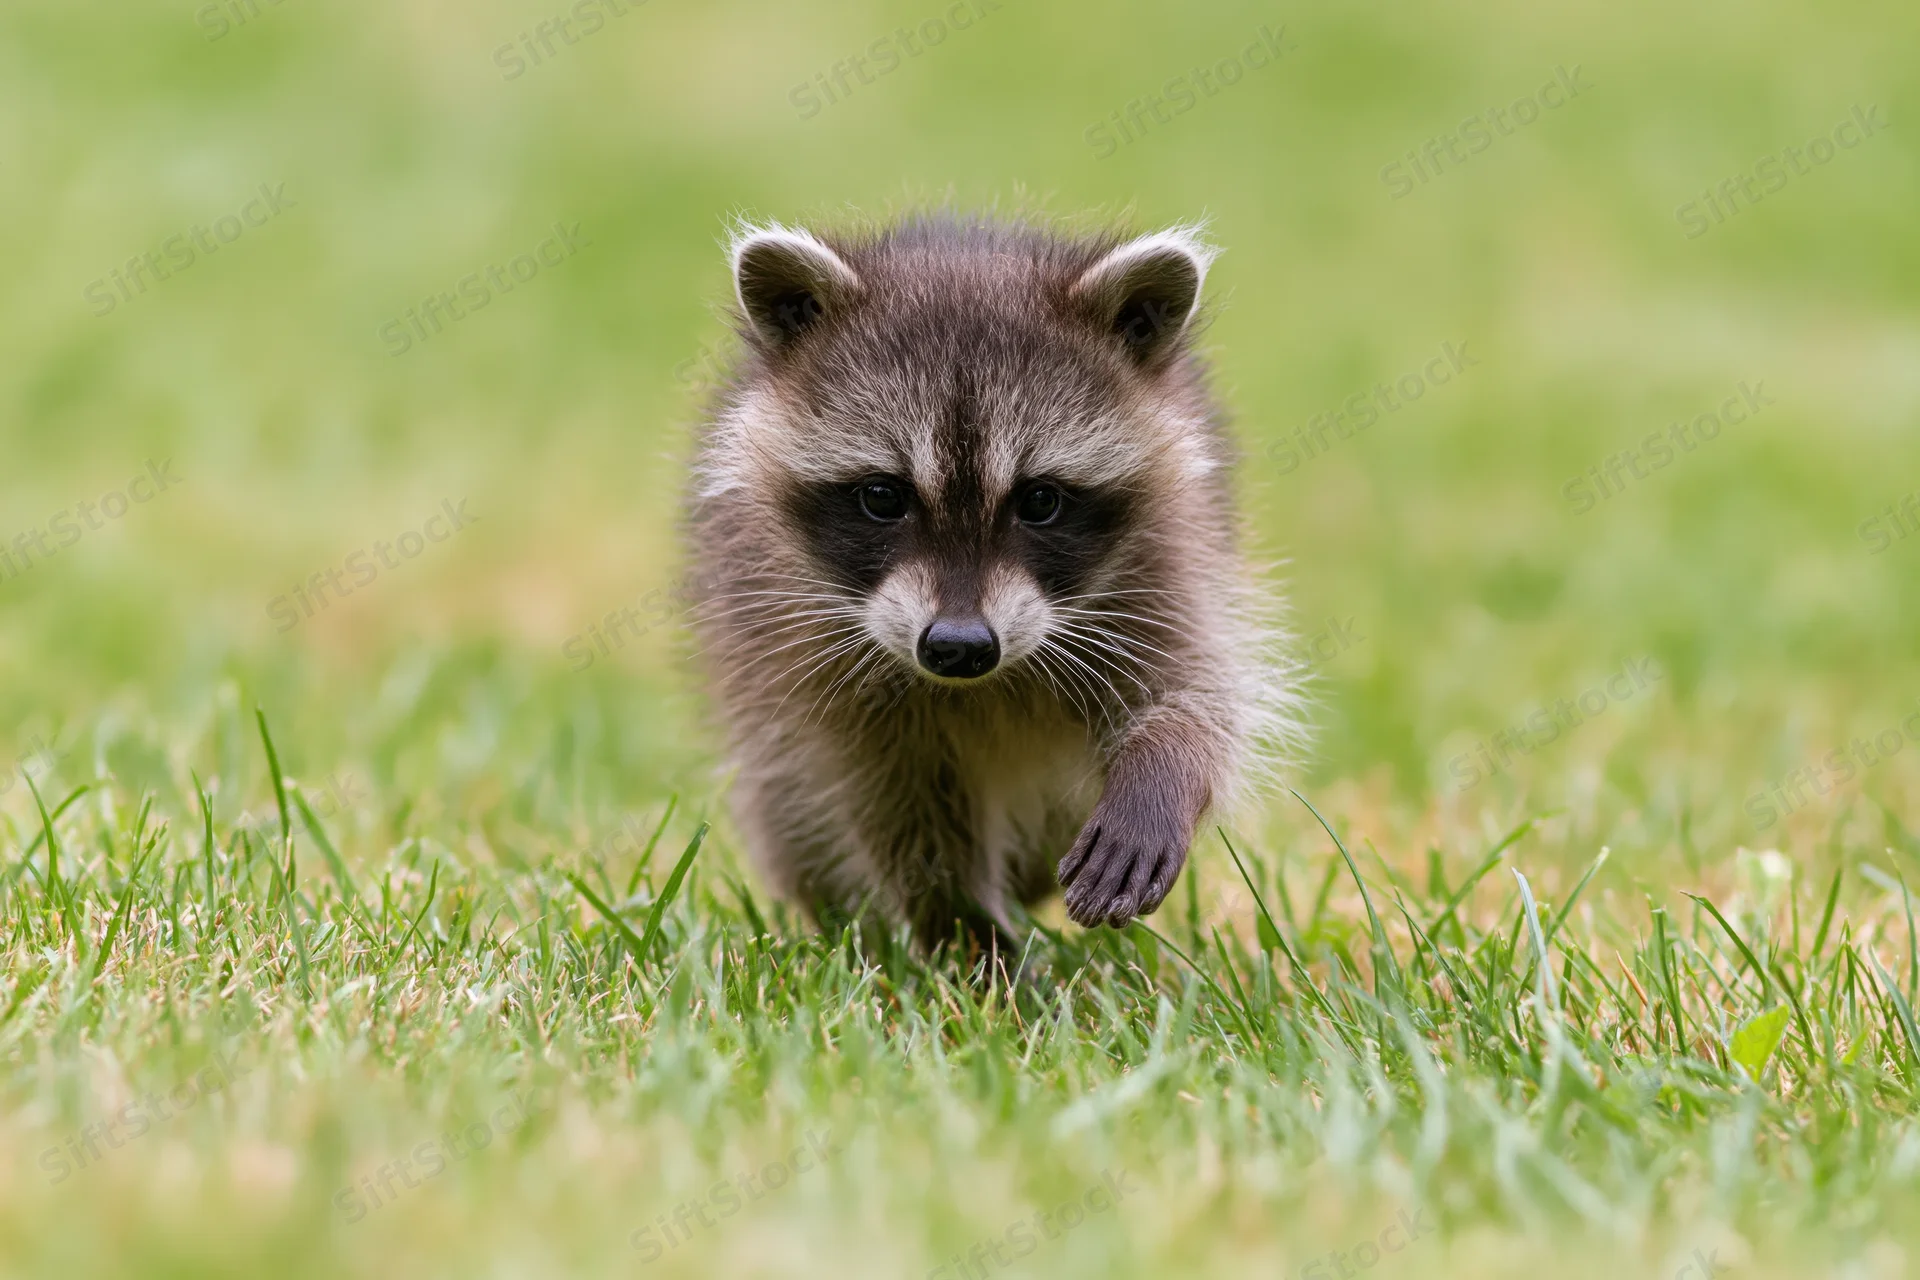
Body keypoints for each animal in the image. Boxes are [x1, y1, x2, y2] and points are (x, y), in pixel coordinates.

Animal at [686, 214, 1296, 953]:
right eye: (882, 496)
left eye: (1040, 500)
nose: (959, 646)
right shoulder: (808, 653)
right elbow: (893, 808)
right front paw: (965, 932)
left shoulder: (1167, 565)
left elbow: (1200, 696)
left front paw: (1160, 777)